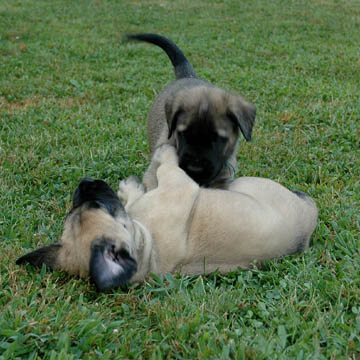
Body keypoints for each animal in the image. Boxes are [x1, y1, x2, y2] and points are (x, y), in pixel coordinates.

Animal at [17, 145, 318, 292]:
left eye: (80, 205)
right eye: (100, 205)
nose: (86, 182)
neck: (147, 251)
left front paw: (129, 188)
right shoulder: (178, 185)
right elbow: (168, 165)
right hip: (246, 185)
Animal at [126, 33, 256, 190]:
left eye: (218, 138)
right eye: (183, 134)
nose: (195, 169)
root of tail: (187, 76)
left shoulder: (223, 180)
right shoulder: (153, 172)